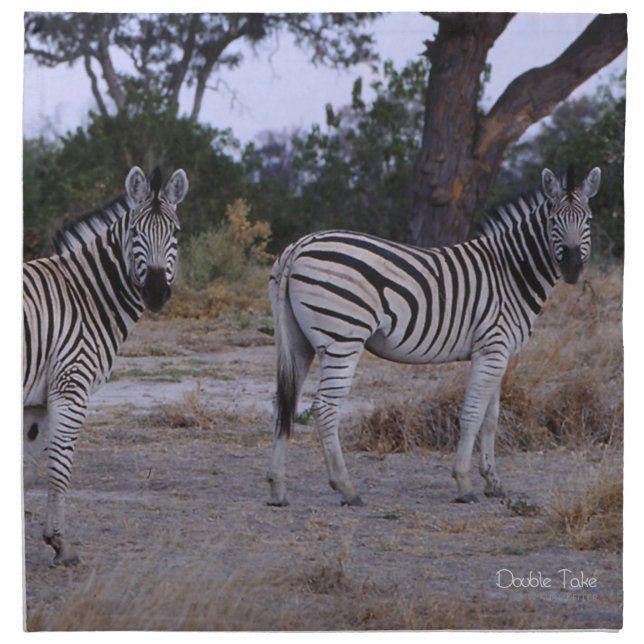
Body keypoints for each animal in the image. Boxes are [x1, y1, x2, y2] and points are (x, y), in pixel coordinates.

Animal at [23, 165, 189, 565]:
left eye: (175, 233)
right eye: (135, 233)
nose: (156, 292)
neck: (86, 297)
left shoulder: (35, 402)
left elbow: (27, 472)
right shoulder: (71, 387)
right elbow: (59, 468)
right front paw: (60, 544)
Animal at [266, 166, 601, 507]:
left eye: (587, 221)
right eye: (553, 221)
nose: (573, 269)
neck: (510, 272)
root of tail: (299, 246)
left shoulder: (499, 353)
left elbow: (491, 418)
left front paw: (493, 482)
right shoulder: (492, 348)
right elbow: (472, 415)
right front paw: (464, 483)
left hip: (297, 341)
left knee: (284, 401)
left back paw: (278, 488)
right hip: (343, 338)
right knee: (325, 407)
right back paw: (346, 488)